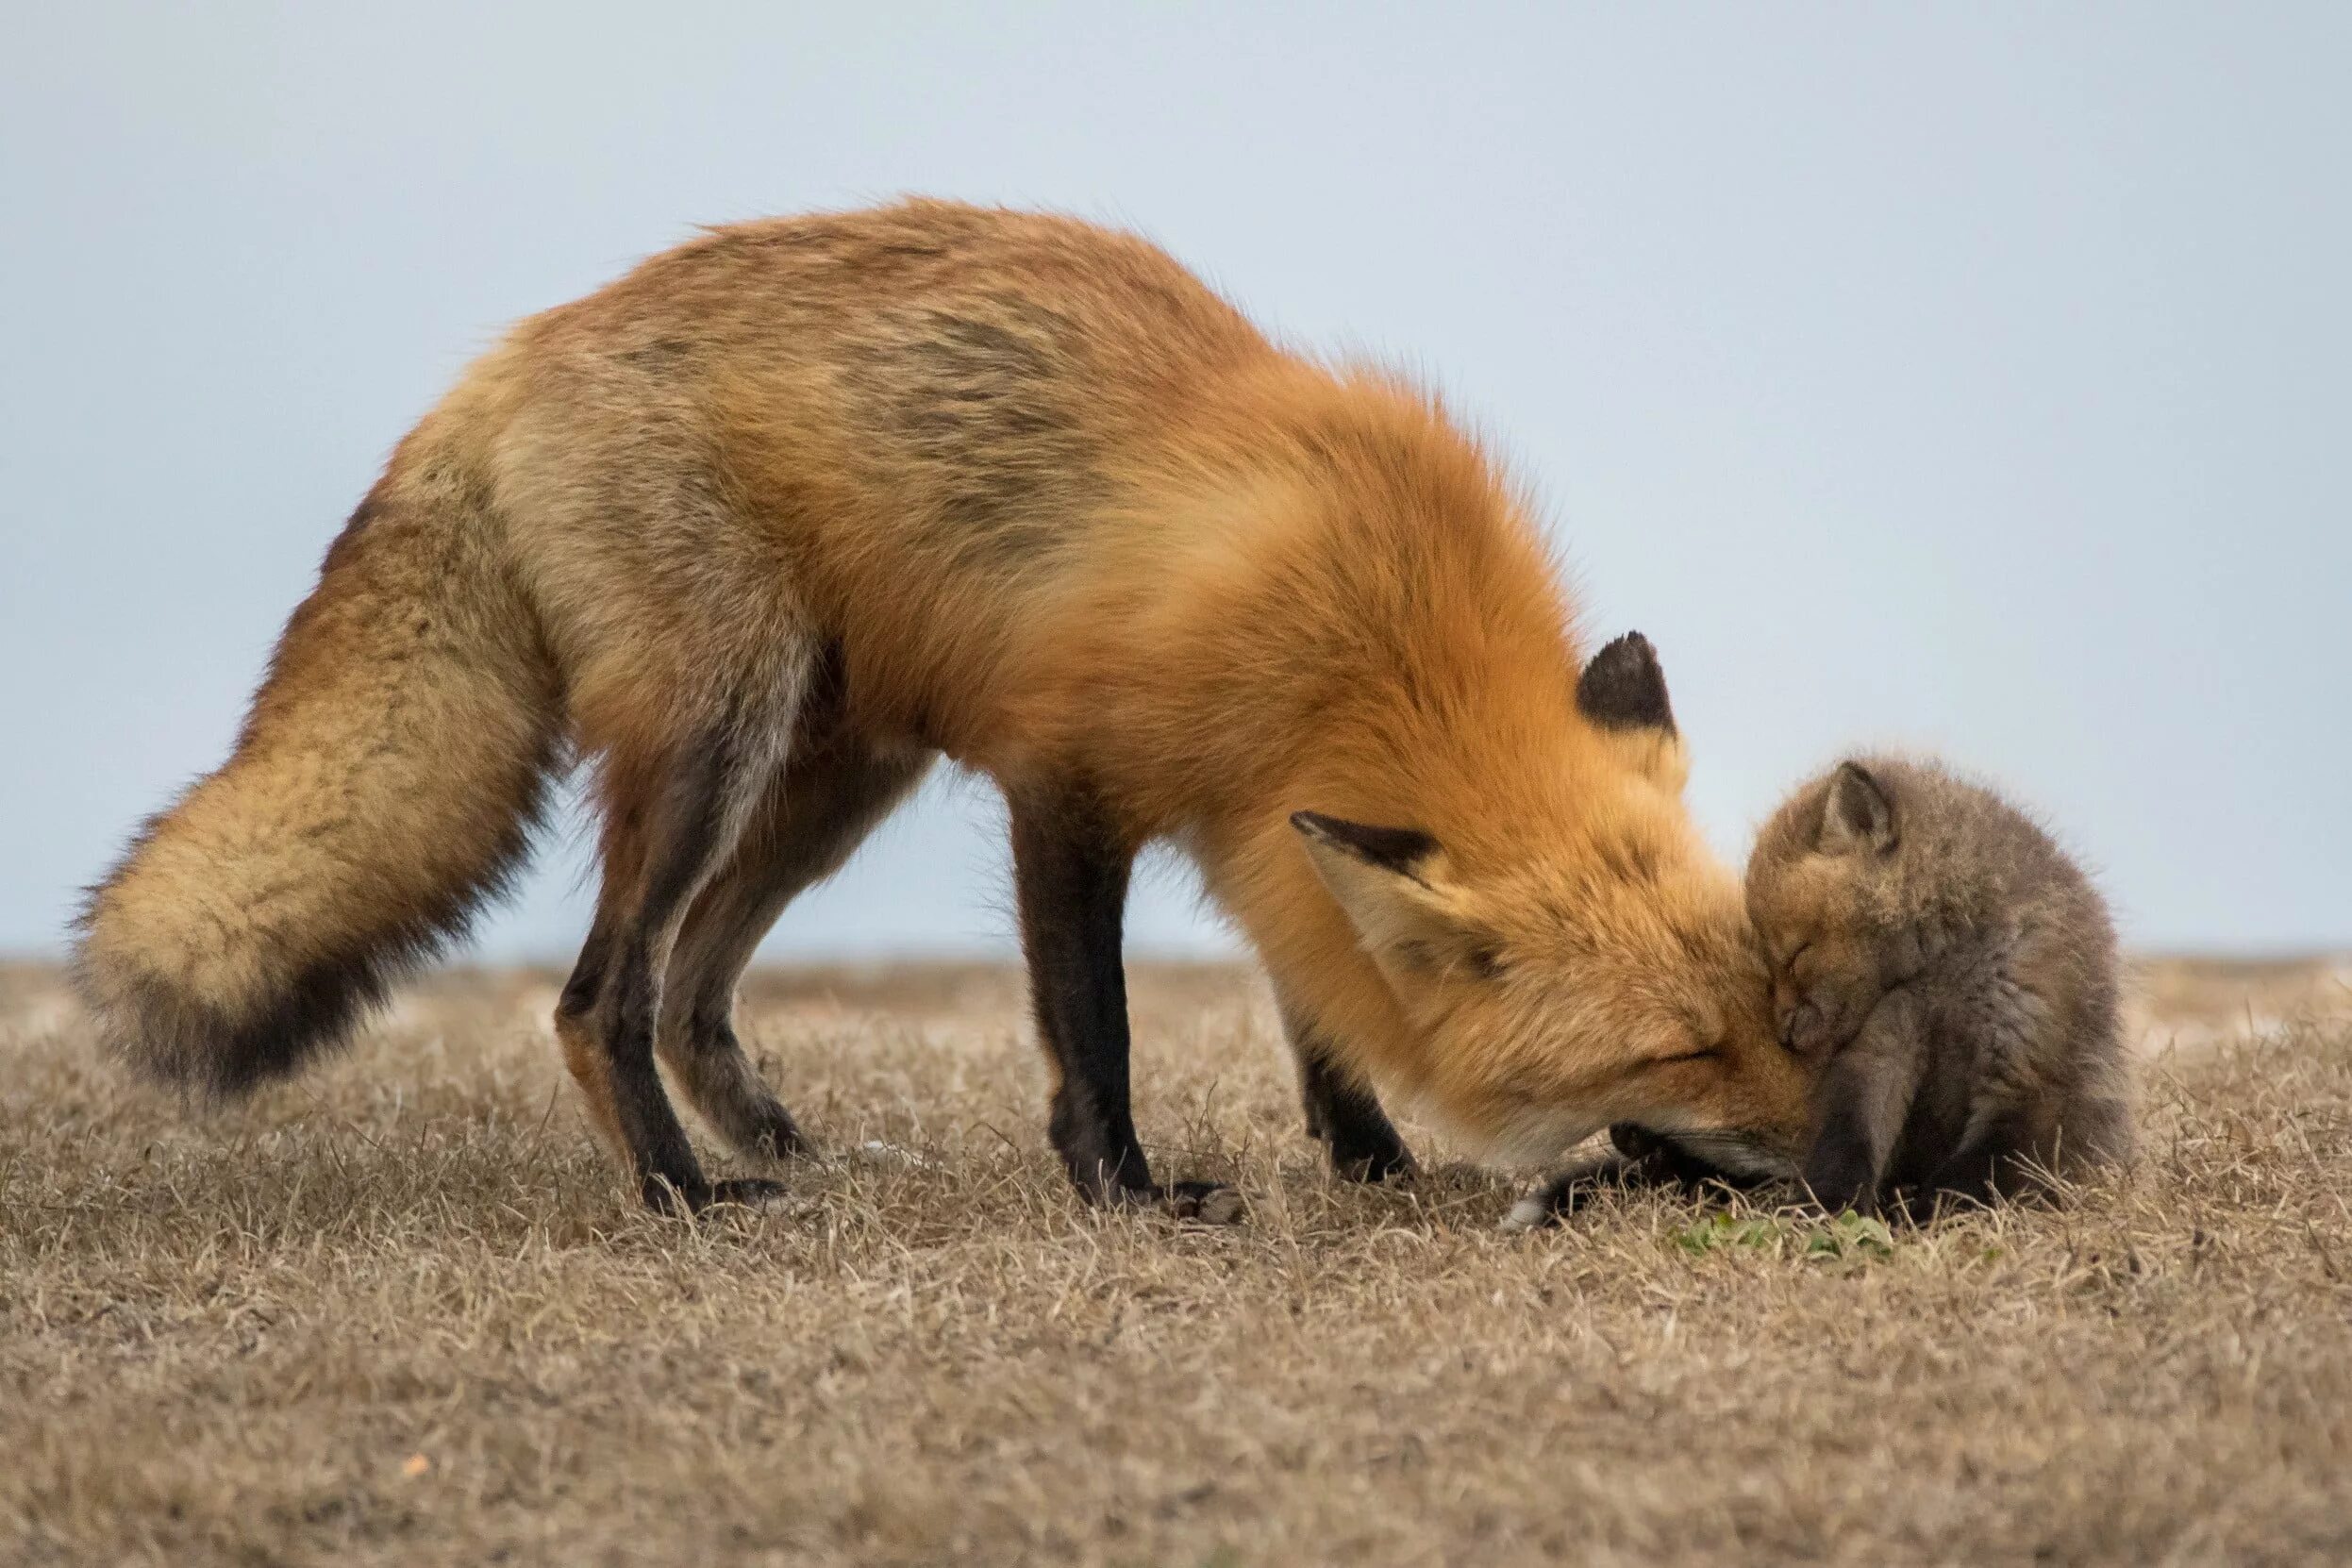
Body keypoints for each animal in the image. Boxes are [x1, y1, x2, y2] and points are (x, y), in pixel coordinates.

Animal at [68, 202, 1796, 1222]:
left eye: (1769, 1006)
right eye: (1676, 1048)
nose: (1847, 1162)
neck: (1365, 623)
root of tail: (503, 361)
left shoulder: (1266, 821)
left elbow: (1318, 1002)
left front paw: (1367, 1156)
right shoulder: (1070, 783)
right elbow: (1094, 1026)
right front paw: (1124, 1193)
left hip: (837, 773)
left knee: (691, 989)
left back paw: (777, 1143)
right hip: (720, 734)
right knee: (599, 995)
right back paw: (686, 1195)